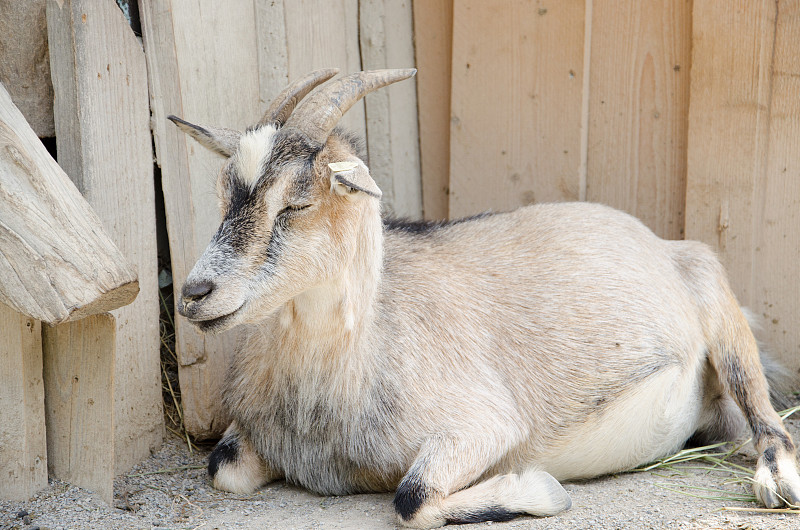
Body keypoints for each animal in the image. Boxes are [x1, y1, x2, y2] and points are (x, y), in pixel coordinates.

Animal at [170, 68, 800, 524]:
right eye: (225, 195)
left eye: (296, 204)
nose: (195, 293)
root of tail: (660, 244)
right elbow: (221, 467)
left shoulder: (482, 424)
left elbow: (412, 498)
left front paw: (542, 490)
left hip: (716, 299)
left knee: (766, 413)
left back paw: (776, 483)